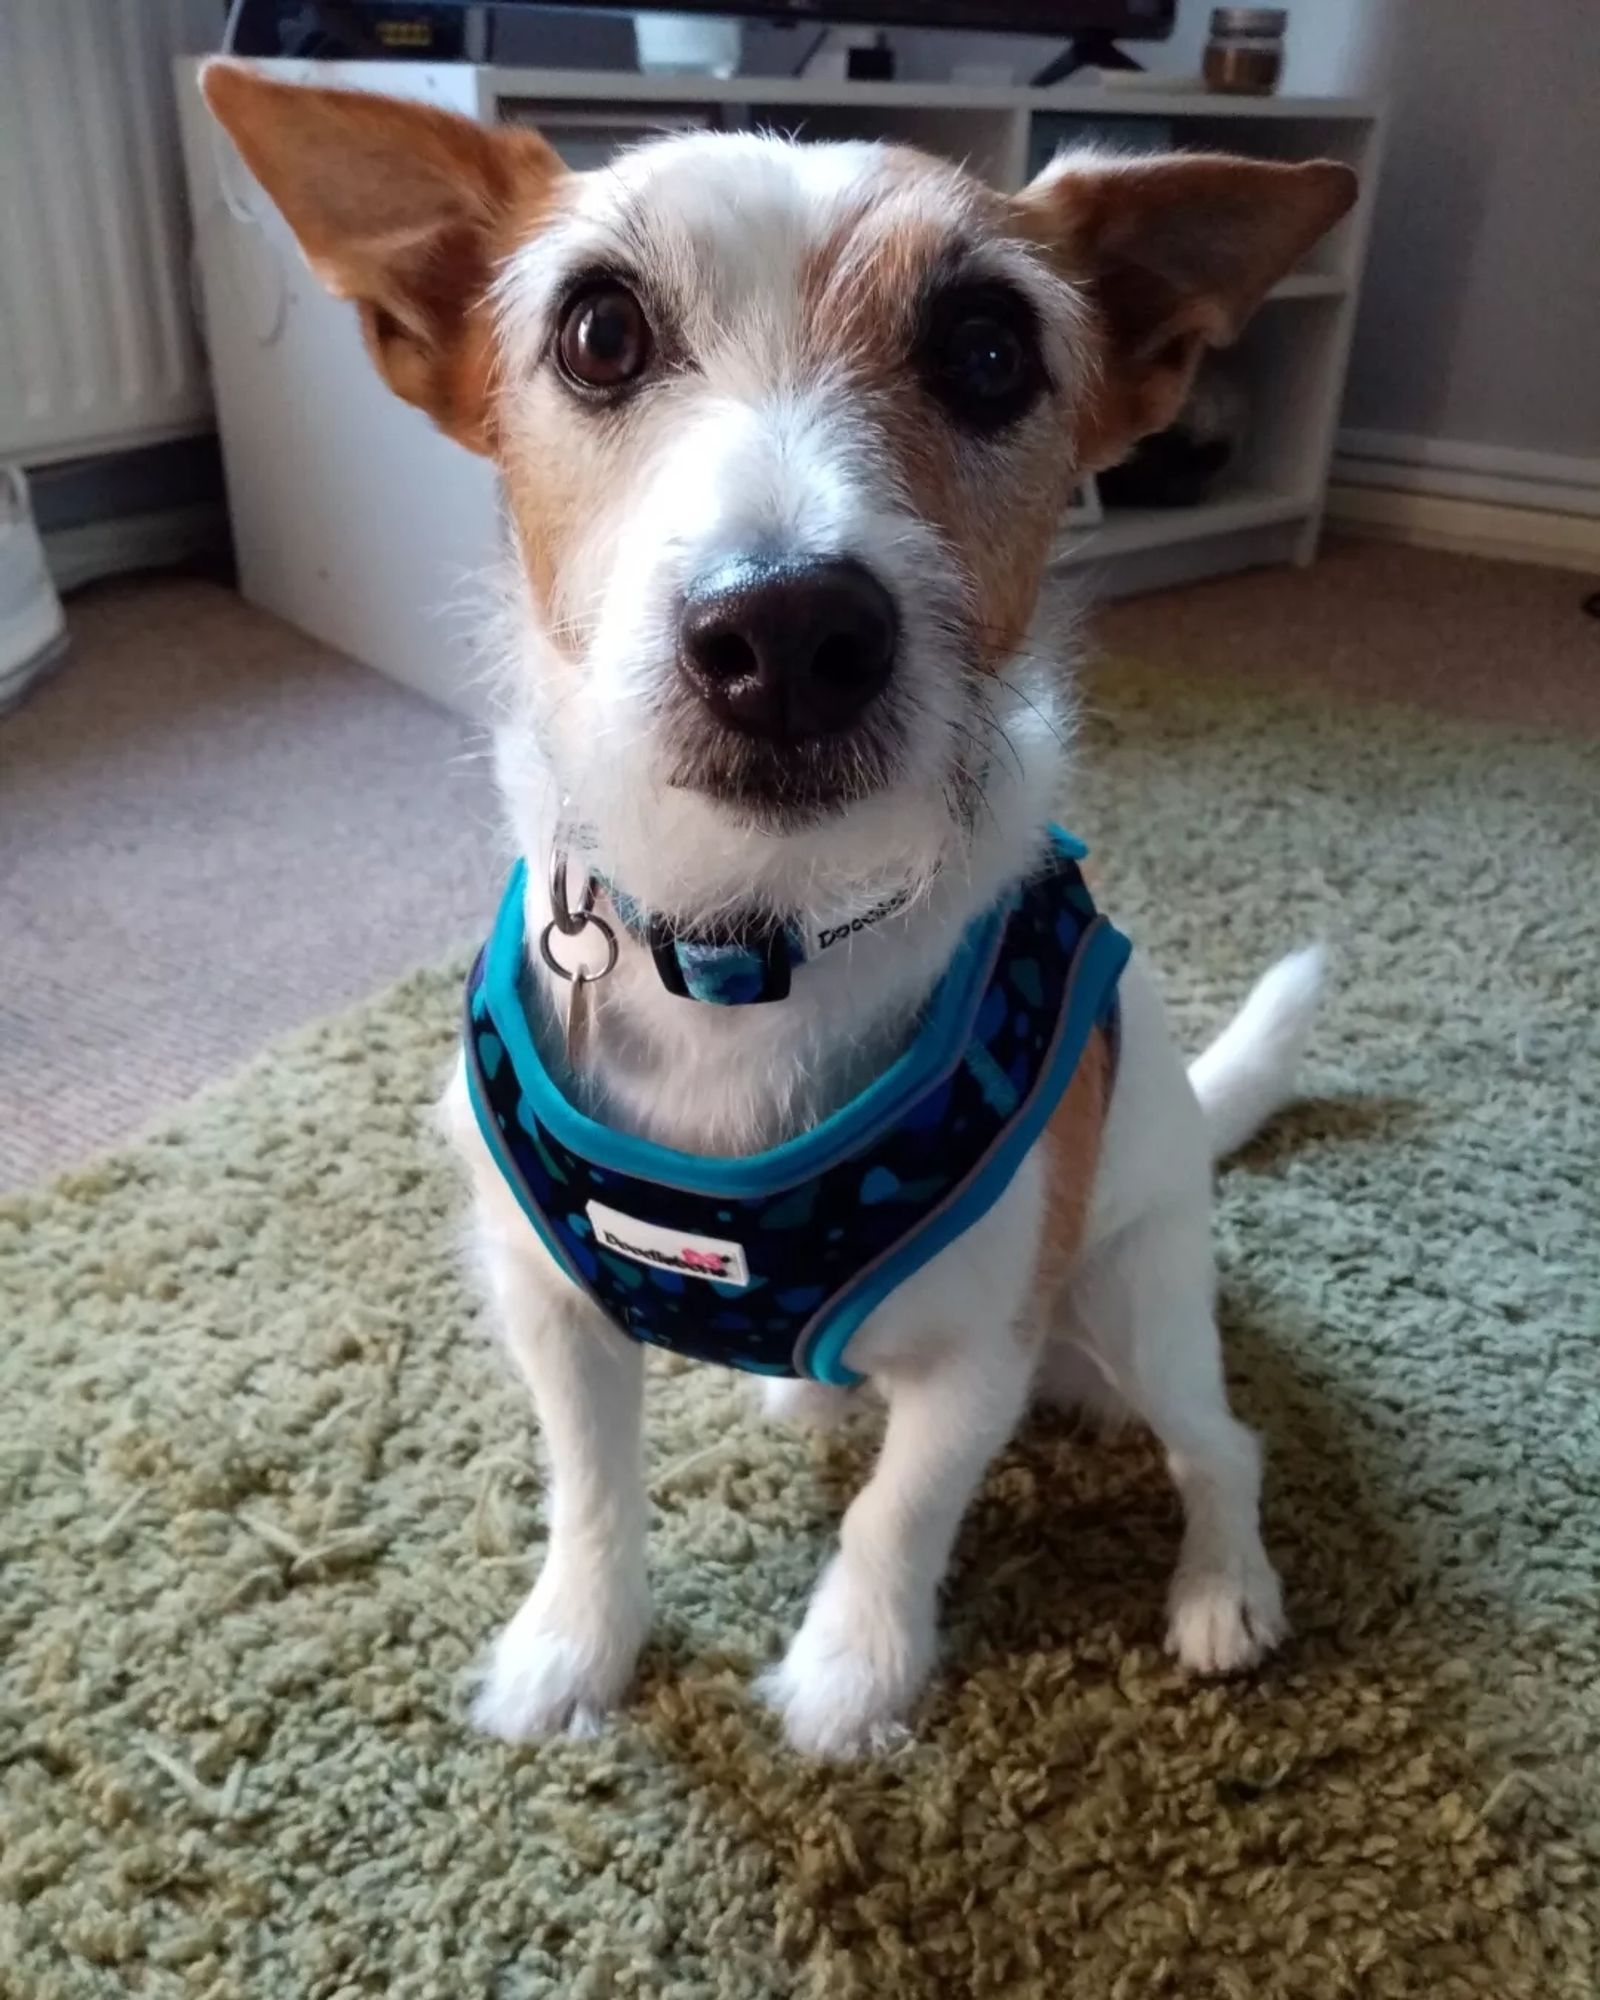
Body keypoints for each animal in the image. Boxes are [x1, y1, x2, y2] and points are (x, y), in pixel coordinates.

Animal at [200, 58, 1352, 1752]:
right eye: (601, 331)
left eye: (989, 349)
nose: (792, 631)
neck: (745, 941)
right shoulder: (550, 1309)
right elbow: (589, 1488)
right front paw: (577, 1647)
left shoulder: (983, 1351)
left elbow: (901, 1510)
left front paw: (851, 1677)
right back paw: (801, 1381)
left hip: (1138, 1300)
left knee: (1222, 1444)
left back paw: (1224, 1590)